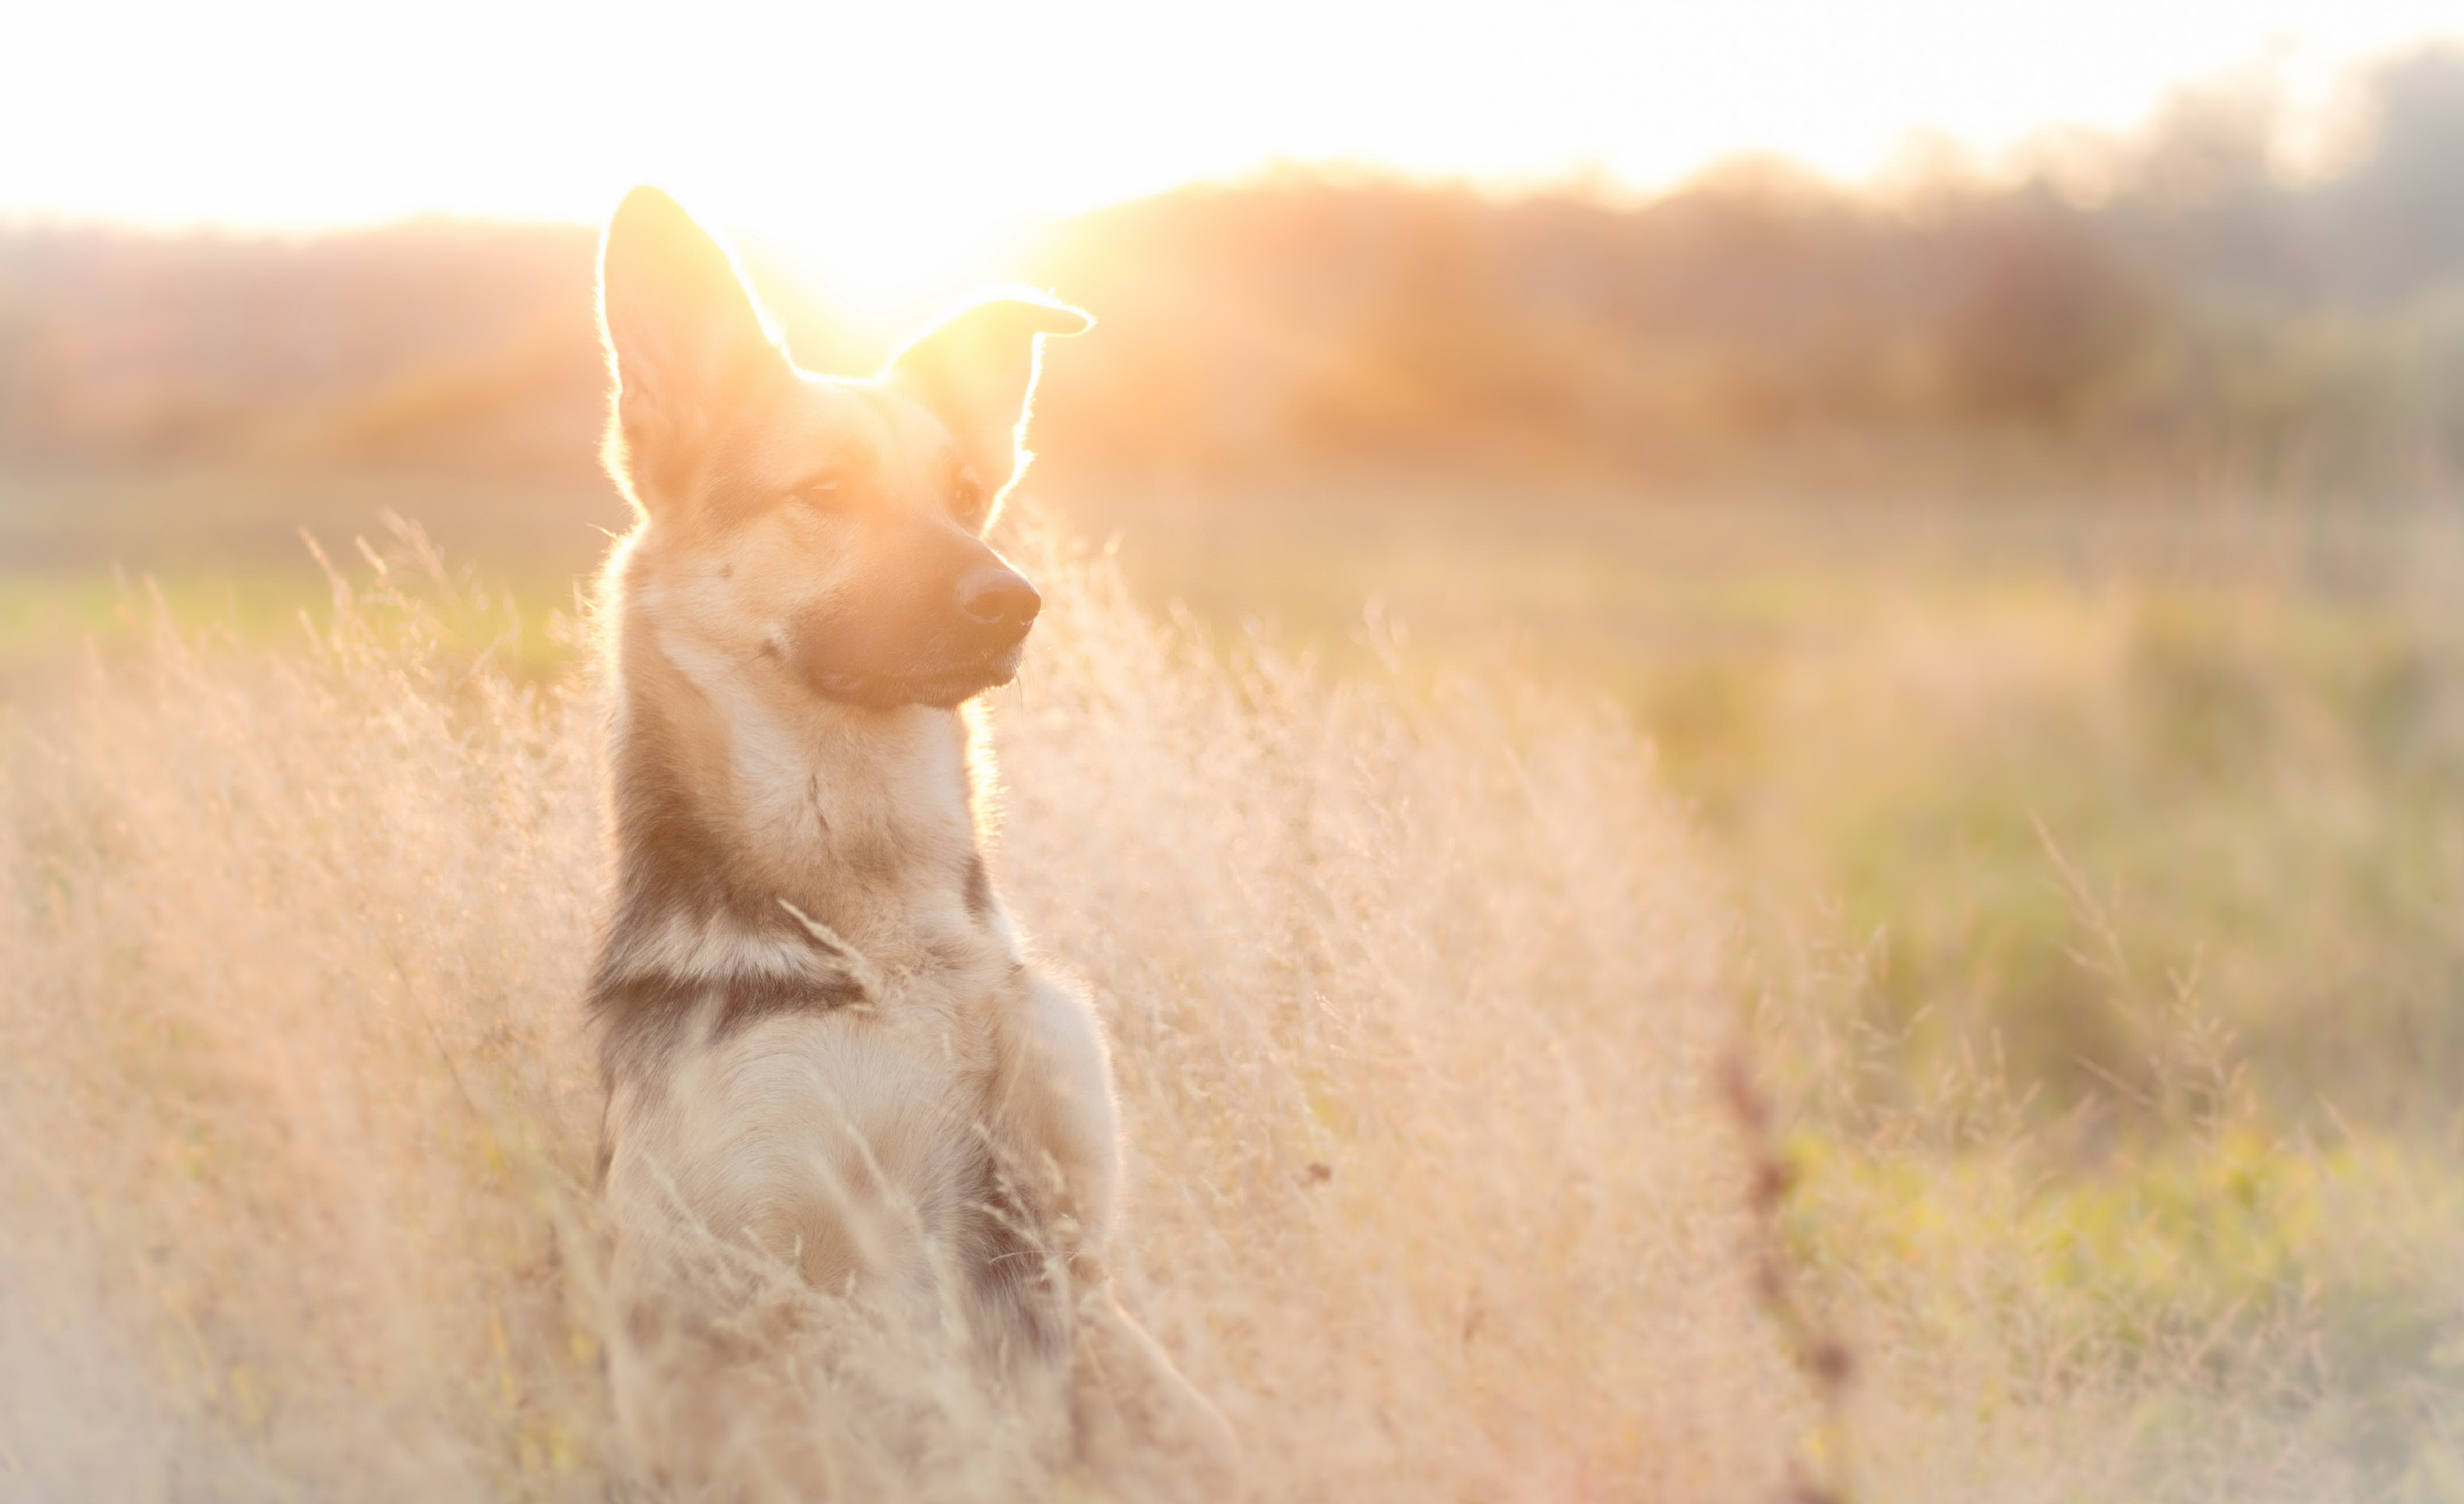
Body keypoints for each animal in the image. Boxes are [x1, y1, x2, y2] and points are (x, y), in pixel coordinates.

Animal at [586, 185, 1222, 1489]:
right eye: (824, 494)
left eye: (969, 491)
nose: (1012, 600)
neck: (882, 941)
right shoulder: (738, 1302)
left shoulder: (1066, 1249)